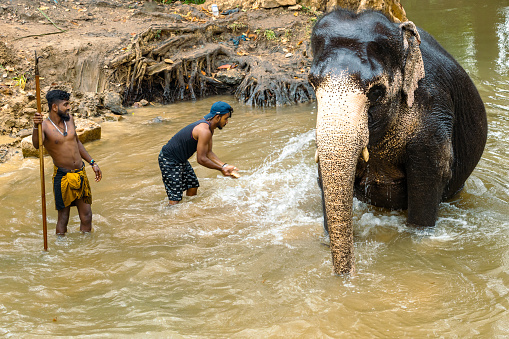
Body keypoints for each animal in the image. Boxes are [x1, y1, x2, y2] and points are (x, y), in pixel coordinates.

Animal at [308, 9, 486, 276]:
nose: (346, 276)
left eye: (376, 91)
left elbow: (429, 179)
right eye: (312, 83)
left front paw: (415, 243)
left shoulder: (433, 117)